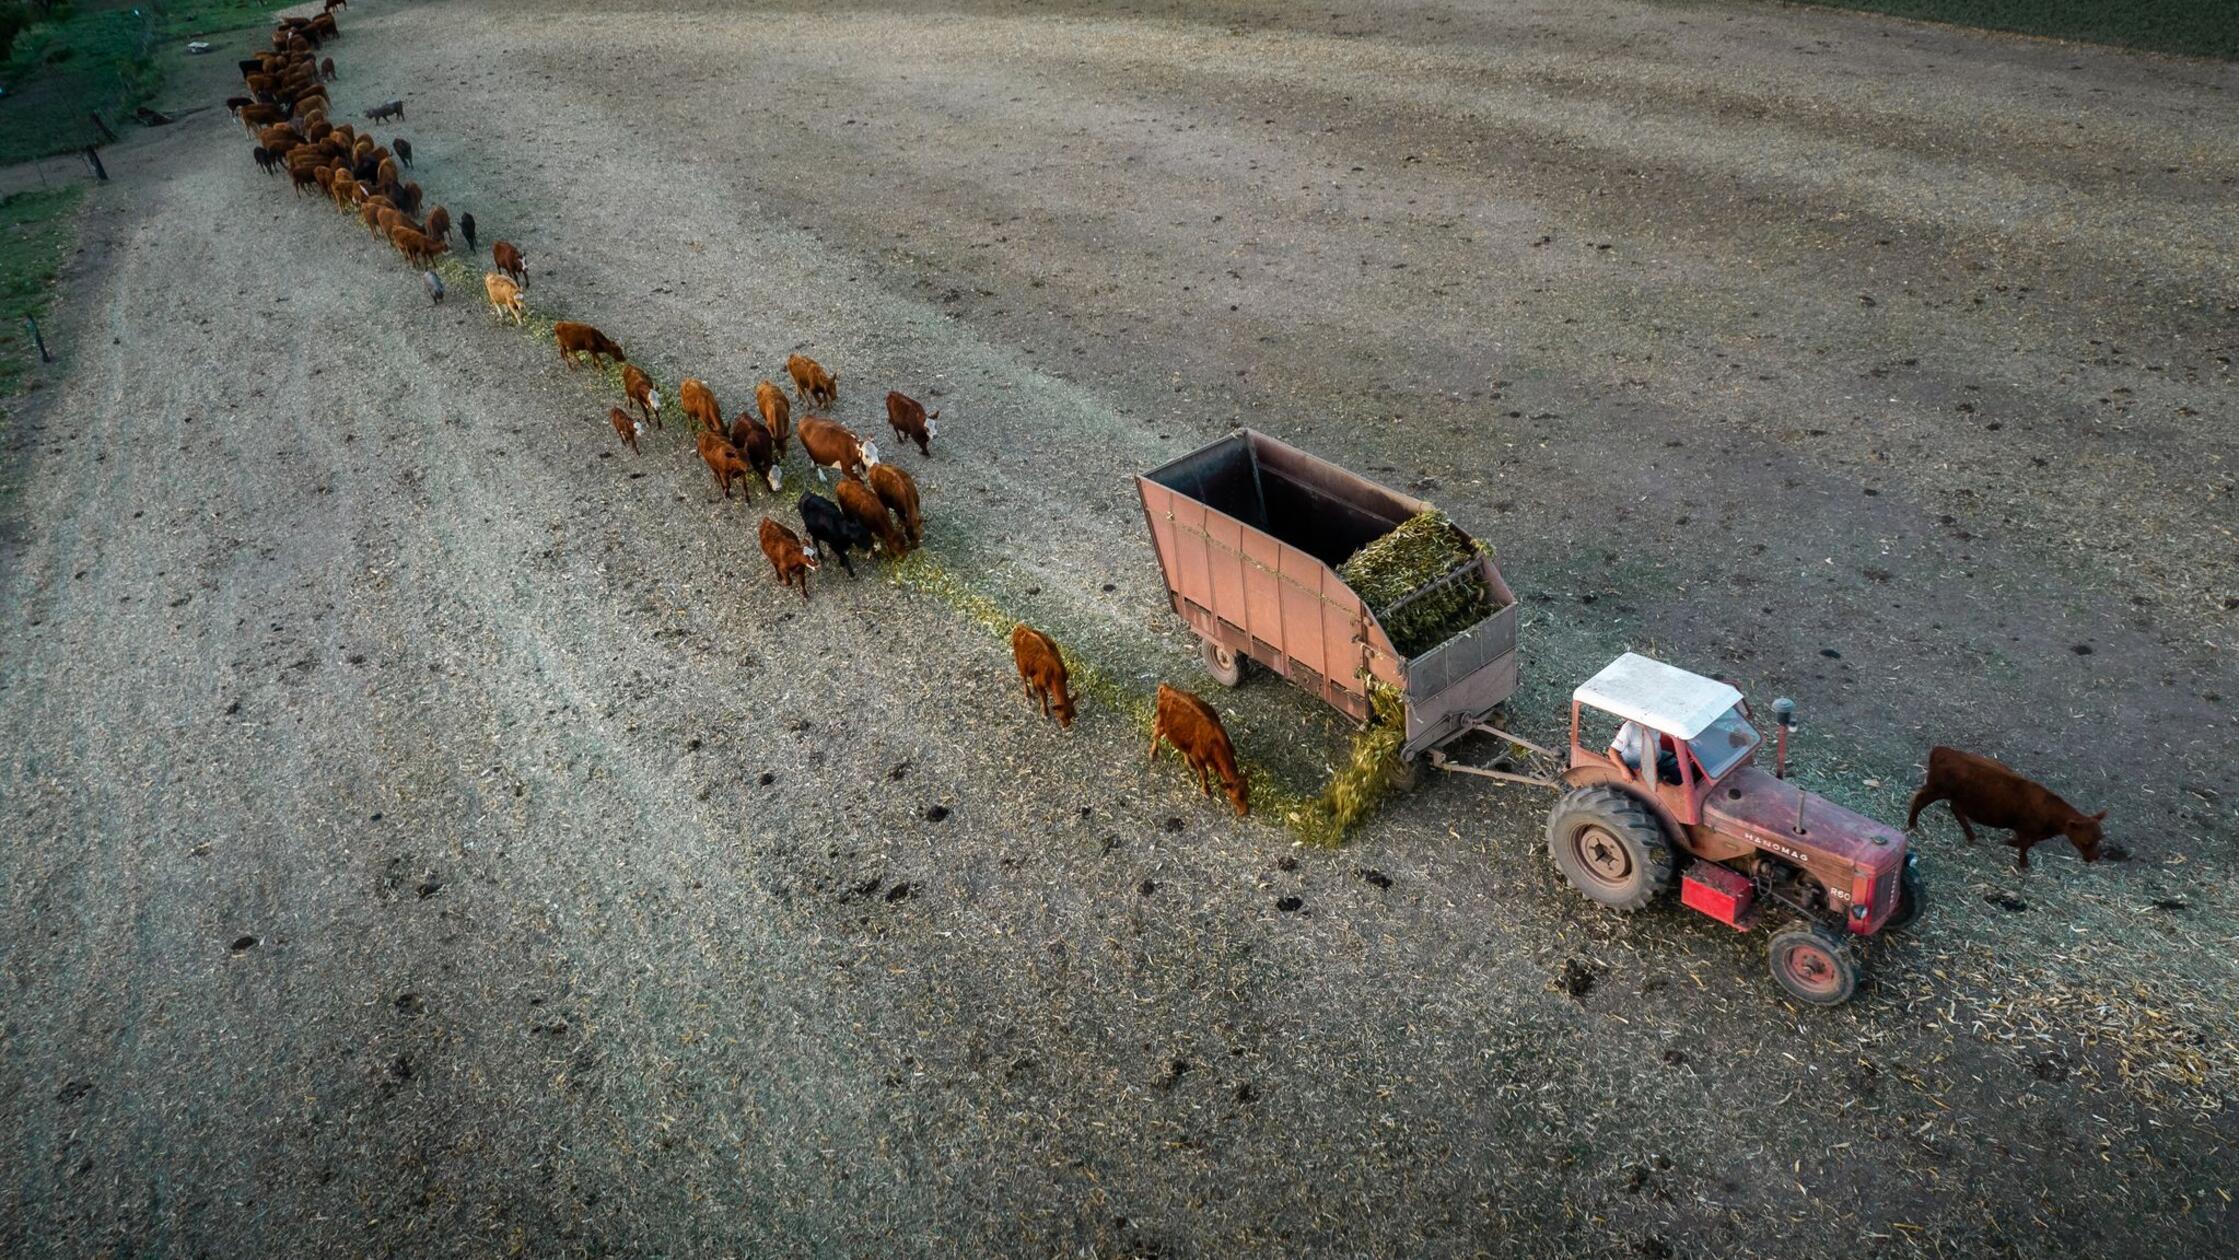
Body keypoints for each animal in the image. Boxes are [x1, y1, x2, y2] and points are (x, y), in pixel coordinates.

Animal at [1149, 684, 1248, 817]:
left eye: (1247, 793)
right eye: (1236, 797)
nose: (1245, 812)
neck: (1216, 744)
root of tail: (1167, 688)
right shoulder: (1197, 756)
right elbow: (1204, 774)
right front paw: (1206, 790)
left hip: (1180, 735)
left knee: (1183, 748)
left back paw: (1189, 764)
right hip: (1160, 723)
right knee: (1156, 736)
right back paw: (1153, 753)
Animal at [1906, 746, 2108, 870]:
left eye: (2100, 837)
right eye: (2087, 841)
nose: (2094, 857)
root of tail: (1942, 750)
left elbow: (2029, 843)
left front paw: (2010, 843)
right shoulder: (2025, 828)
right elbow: (2026, 846)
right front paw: (2024, 864)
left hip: (1957, 796)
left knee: (1955, 808)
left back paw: (1971, 835)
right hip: (1936, 789)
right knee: (1918, 800)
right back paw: (1912, 824)